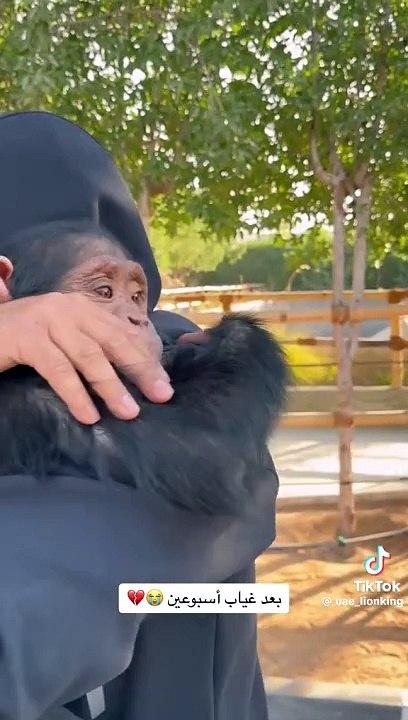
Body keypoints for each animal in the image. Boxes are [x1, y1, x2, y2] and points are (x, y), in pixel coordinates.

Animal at [0, 219, 288, 516]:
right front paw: (231, 336)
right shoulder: (46, 405)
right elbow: (210, 454)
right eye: (105, 292)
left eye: (137, 296)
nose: (138, 320)